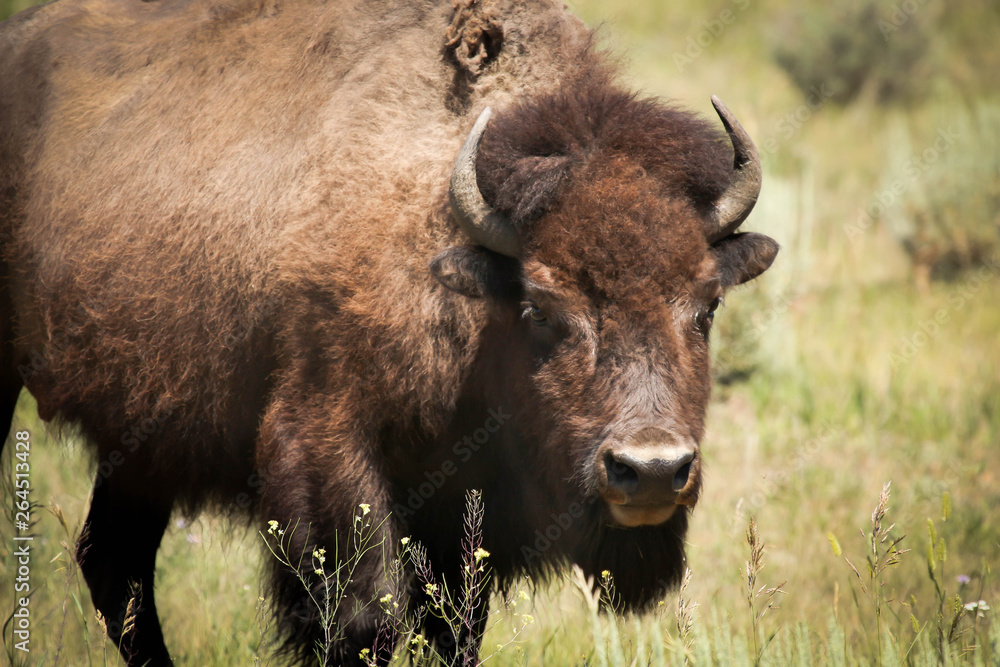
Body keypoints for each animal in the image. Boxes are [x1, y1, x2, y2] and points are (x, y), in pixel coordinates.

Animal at [0, 0, 776, 664]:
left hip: (143, 435)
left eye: (707, 306)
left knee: (114, 564)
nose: (651, 469)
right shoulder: (330, 447)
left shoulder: (462, 510)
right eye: (540, 308)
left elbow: (455, 626)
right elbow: (363, 618)